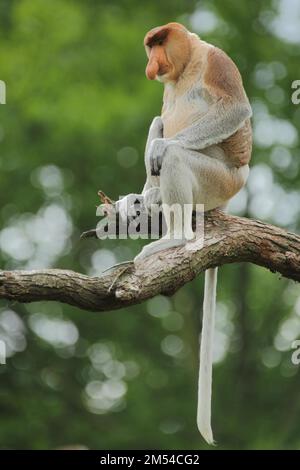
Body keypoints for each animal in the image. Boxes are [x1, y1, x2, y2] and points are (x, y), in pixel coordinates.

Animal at [114, 23, 251, 444]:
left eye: (159, 42)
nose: (151, 62)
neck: (188, 63)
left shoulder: (217, 60)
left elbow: (234, 109)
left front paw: (163, 147)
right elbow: (160, 118)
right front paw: (140, 197)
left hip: (217, 181)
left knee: (173, 155)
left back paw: (174, 237)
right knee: (157, 123)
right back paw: (148, 199)